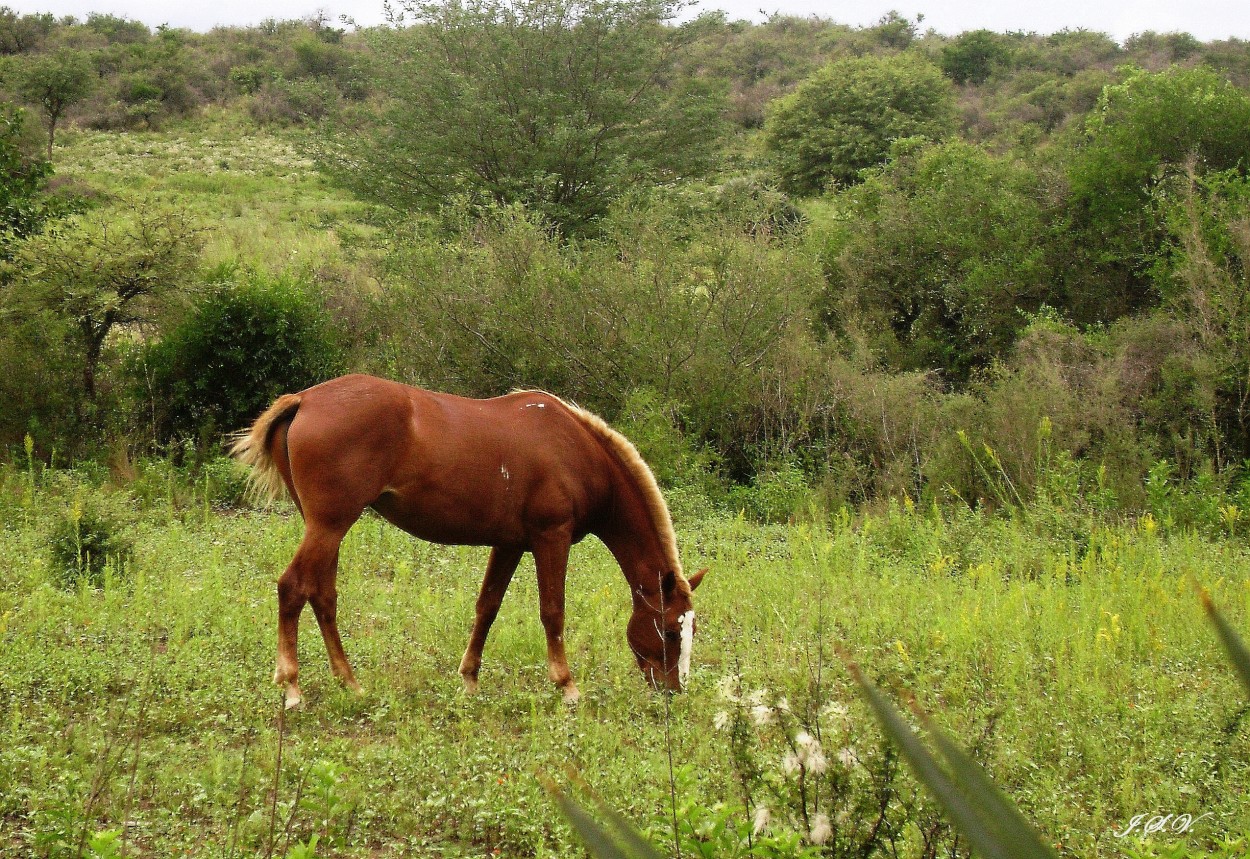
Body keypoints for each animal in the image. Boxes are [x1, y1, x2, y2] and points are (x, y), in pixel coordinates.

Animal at [232, 372, 705, 710]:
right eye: (669, 629)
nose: (673, 691)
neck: (574, 449)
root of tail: (304, 400)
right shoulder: (551, 538)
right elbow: (553, 611)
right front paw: (567, 686)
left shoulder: (510, 544)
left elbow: (487, 608)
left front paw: (469, 680)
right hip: (329, 526)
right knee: (293, 588)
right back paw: (292, 687)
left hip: (326, 528)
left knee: (322, 596)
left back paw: (350, 682)